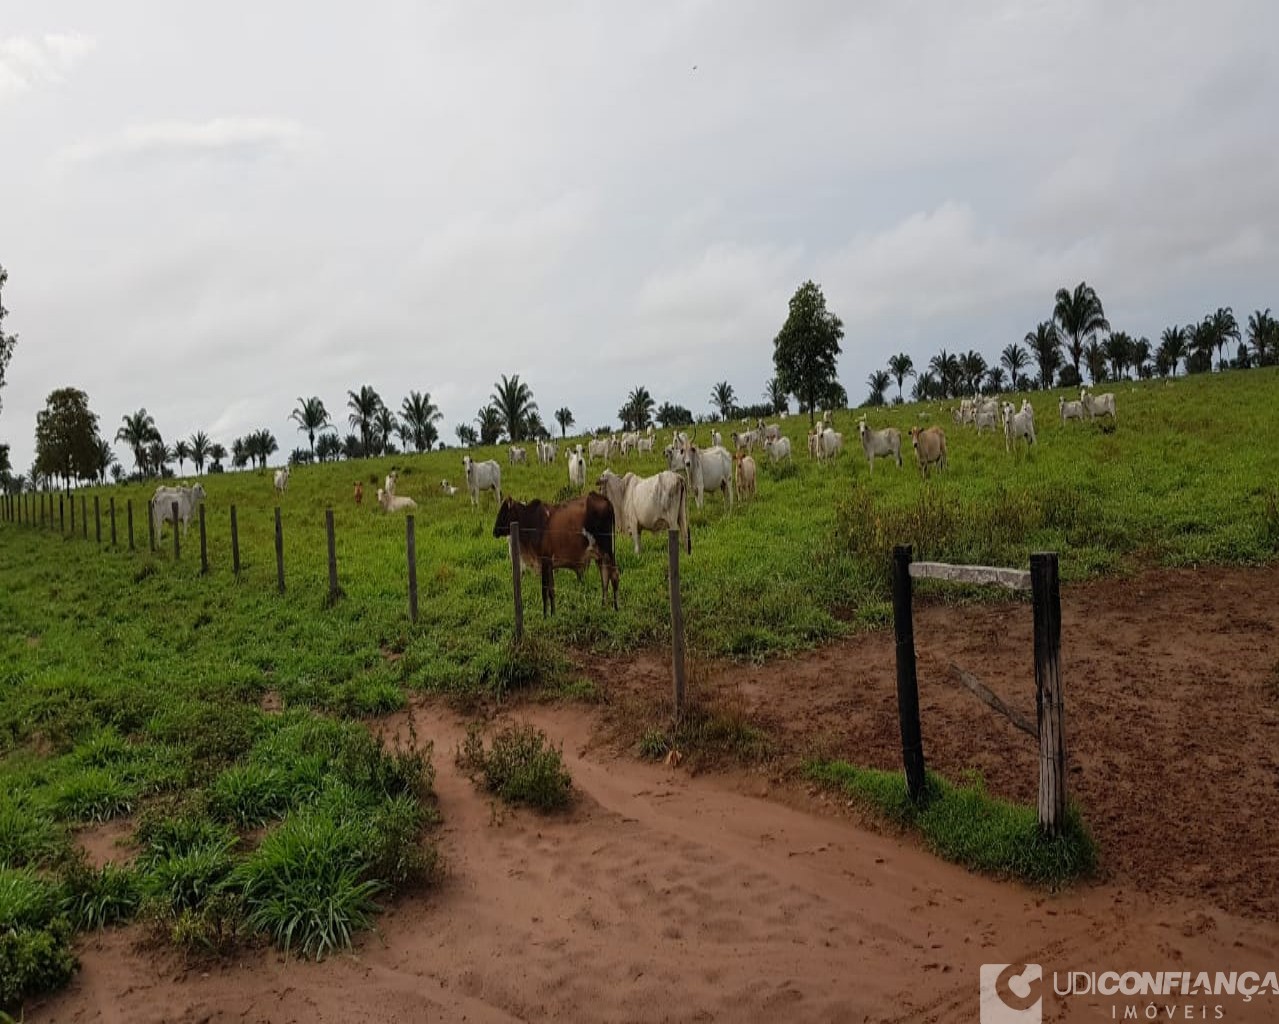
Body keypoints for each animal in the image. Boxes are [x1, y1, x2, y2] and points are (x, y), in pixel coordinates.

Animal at [488, 496, 619, 616]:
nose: (494, 531)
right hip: (600, 556)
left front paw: (545, 616)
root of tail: (605, 500)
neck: (530, 520)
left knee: (614, 576)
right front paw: (553, 614)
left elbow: (544, 590)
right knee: (605, 578)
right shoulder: (550, 565)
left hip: (608, 552)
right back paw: (603, 607)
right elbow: (552, 591)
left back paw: (616, 608)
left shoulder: (544, 561)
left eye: (503, 512)